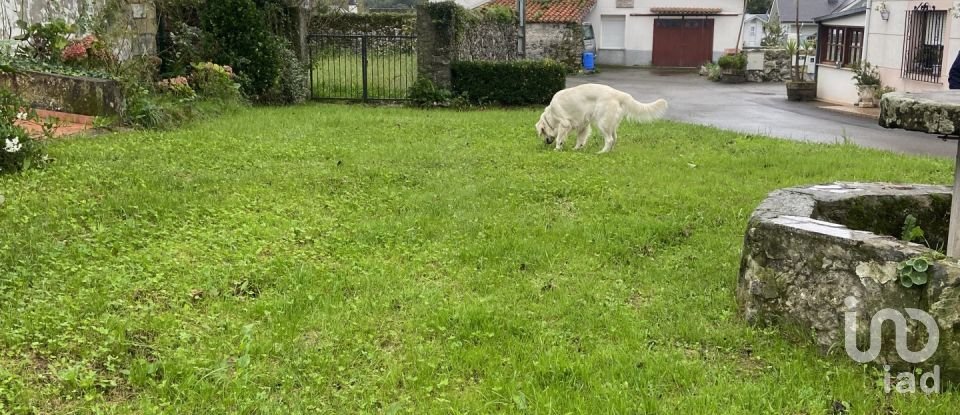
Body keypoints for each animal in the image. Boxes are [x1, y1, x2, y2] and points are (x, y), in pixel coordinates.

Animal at [532, 83, 668, 154]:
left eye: (542, 133)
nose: (546, 142)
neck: (551, 114)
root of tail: (619, 94)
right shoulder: (583, 125)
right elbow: (580, 139)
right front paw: (577, 148)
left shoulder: (564, 123)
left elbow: (559, 139)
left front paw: (557, 148)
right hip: (611, 124)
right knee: (614, 139)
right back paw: (609, 151)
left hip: (603, 123)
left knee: (609, 139)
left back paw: (601, 152)